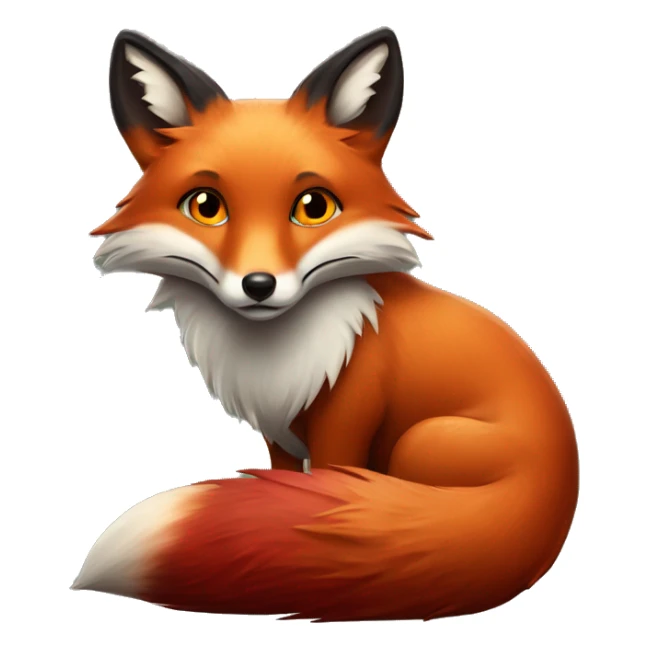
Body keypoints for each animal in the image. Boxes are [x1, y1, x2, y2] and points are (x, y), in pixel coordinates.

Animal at [72, 27, 579, 622]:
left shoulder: (346, 419)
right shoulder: (278, 429)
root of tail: (560, 495)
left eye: (314, 207)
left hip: (421, 440)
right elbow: (286, 486)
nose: (259, 284)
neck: (278, 352)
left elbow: (330, 488)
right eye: (206, 206)